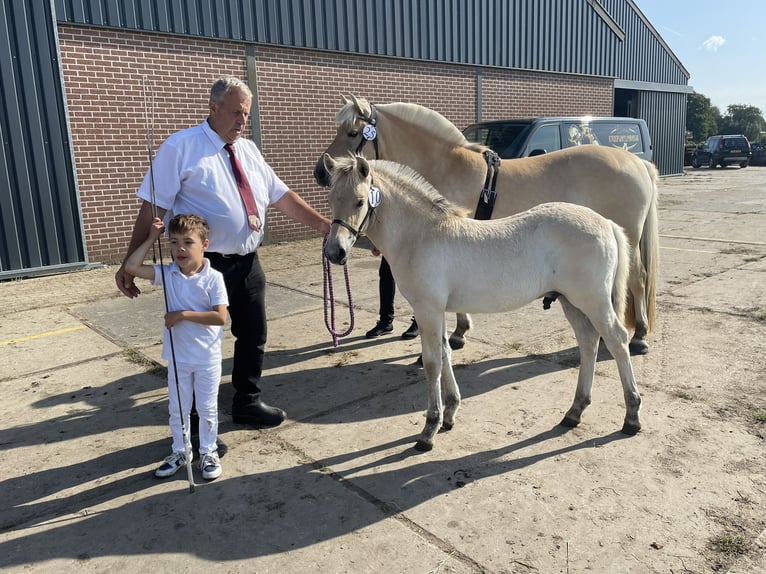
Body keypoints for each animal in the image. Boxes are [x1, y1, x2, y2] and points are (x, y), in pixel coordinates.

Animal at [316, 96, 664, 356]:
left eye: (352, 132)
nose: (321, 172)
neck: (448, 165)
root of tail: (637, 161)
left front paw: (457, 333)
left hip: (629, 237)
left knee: (637, 280)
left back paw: (639, 336)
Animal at [324, 155, 640, 452]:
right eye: (330, 199)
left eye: (360, 201)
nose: (334, 252)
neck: (422, 235)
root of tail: (607, 223)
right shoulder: (437, 311)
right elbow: (446, 353)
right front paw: (450, 413)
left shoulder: (428, 310)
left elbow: (432, 363)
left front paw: (429, 429)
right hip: (571, 302)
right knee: (589, 343)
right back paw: (574, 412)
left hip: (593, 302)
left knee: (617, 340)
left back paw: (631, 416)